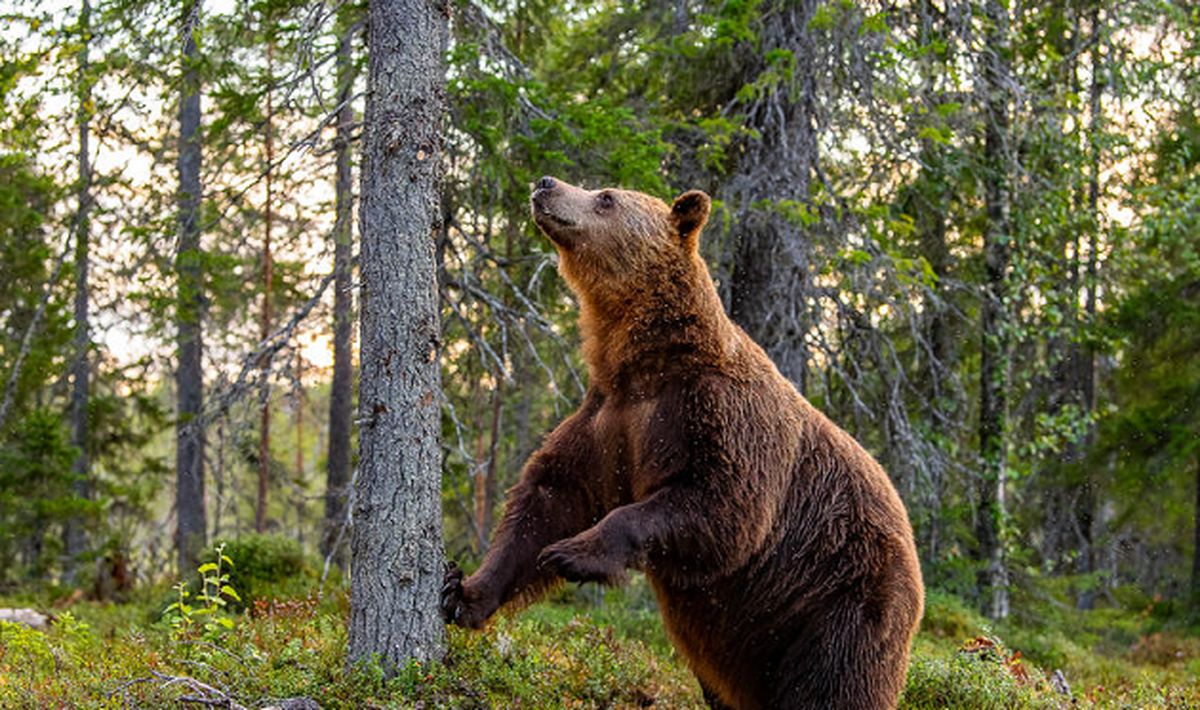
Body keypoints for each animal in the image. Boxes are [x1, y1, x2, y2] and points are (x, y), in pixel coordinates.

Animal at [446, 176, 921, 710]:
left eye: (606, 197)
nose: (546, 184)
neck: (647, 359)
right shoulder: (607, 419)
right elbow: (549, 497)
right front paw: (463, 591)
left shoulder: (719, 416)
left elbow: (720, 505)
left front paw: (574, 553)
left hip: (841, 600)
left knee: (832, 684)